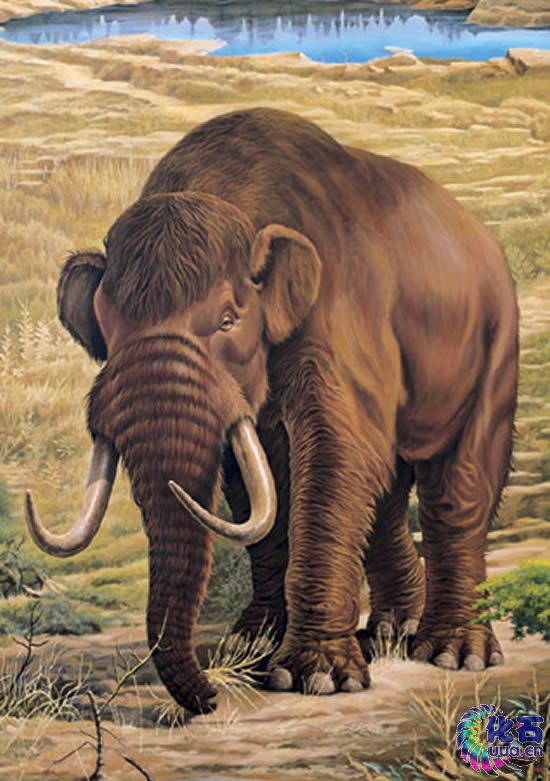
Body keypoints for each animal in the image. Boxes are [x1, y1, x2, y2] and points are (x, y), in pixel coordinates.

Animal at [25, 108, 519, 715]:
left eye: (229, 321)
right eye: (108, 333)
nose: (211, 698)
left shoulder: (340, 312)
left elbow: (338, 454)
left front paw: (316, 677)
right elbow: (256, 481)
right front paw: (253, 648)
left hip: (496, 337)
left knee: (458, 485)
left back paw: (453, 654)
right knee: (387, 488)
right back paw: (390, 631)